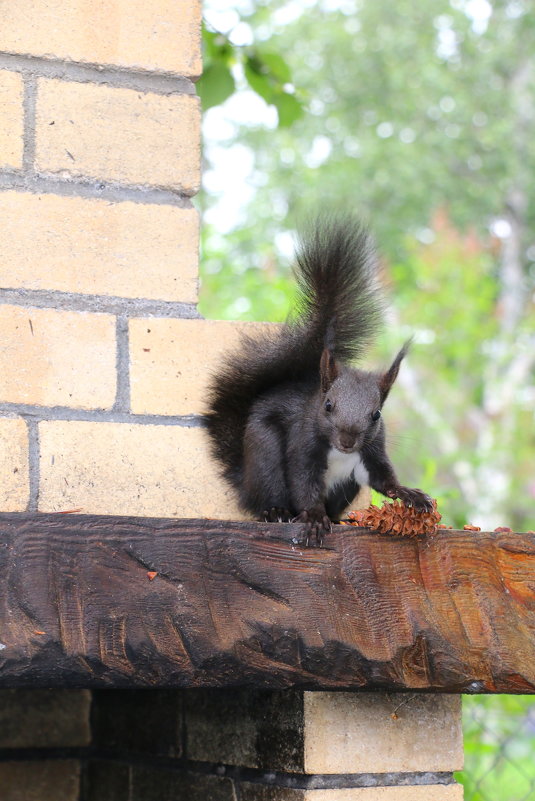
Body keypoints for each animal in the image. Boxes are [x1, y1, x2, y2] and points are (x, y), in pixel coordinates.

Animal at [203, 216, 434, 544]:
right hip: (265, 454)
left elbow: (383, 479)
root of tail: (245, 484)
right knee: (270, 493)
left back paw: (337, 519)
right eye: (327, 406)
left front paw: (409, 493)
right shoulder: (303, 448)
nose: (348, 441)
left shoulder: (373, 451)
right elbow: (304, 483)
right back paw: (276, 512)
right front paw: (312, 517)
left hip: (345, 487)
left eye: (376, 414)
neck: (338, 451)